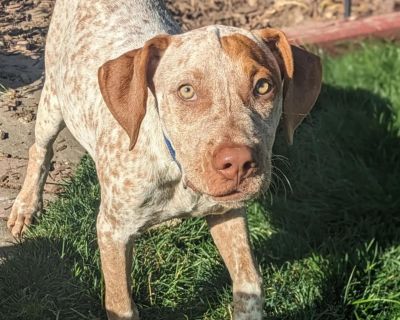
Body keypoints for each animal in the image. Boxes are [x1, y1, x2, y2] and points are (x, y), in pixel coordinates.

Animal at [7, 1, 322, 318]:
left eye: (263, 86)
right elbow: (122, 304)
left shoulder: (228, 212)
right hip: (52, 103)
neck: (178, 170)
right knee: (40, 150)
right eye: (186, 90)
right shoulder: (112, 231)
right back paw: (25, 207)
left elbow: (249, 284)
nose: (238, 163)